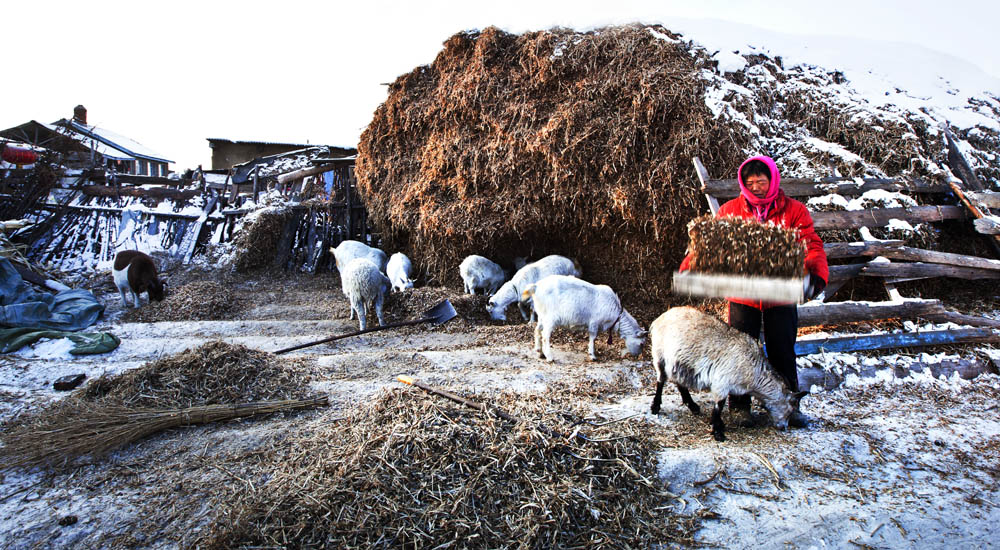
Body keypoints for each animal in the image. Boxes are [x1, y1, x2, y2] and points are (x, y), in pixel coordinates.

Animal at [644, 308, 808, 442]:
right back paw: (656, 406)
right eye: (789, 410)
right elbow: (719, 406)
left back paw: (692, 405)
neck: (754, 374)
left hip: (679, 362)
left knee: (678, 381)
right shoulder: (722, 383)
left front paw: (718, 427)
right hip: (660, 355)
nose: (783, 427)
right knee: (661, 380)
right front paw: (717, 432)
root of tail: (660, 318)